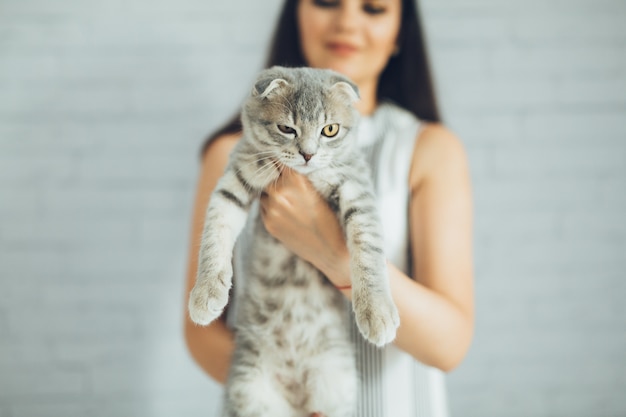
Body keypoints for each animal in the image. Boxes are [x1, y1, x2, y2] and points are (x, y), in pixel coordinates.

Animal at [188, 66, 398, 416]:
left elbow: (368, 251)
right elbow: (214, 236)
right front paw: (206, 293)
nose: (308, 154)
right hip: (252, 392)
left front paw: (377, 312)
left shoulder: (357, 191)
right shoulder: (233, 183)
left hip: (336, 386)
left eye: (330, 129)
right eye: (287, 128)